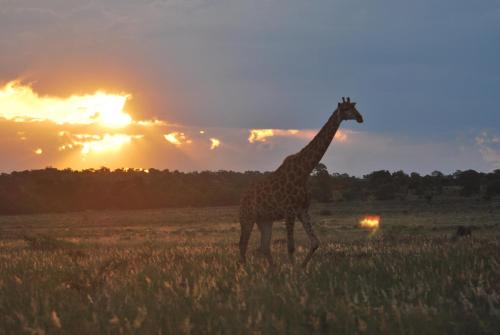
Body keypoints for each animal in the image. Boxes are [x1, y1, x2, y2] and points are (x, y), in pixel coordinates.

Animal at [238, 96, 364, 268]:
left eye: (354, 107)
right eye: (345, 109)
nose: (360, 118)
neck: (304, 171)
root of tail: (242, 199)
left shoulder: (302, 209)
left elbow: (315, 242)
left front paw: (302, 268)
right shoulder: (289, 210)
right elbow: (291, 247)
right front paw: (293, 270)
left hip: (264, 220)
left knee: (264, 246)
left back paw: (272, 270)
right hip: (247, 217)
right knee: (242, 244)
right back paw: (245, 270)